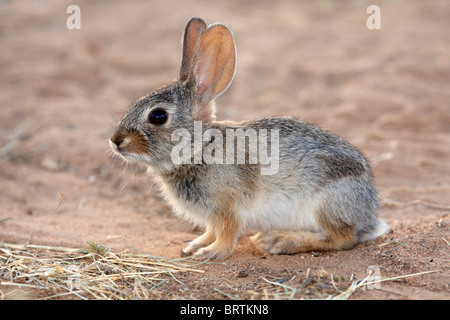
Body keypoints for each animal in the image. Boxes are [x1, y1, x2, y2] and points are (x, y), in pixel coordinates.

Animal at [109, 17, 386, 260]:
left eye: (158, 116)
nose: (116, 140)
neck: (198, 148)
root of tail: (369, 210)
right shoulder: (212, 214)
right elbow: (210, 231)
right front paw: (195, 245)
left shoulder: (227, 208)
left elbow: (226, 233)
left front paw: (211, 253)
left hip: (326, 203)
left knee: (342, 238)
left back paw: (277, 241)